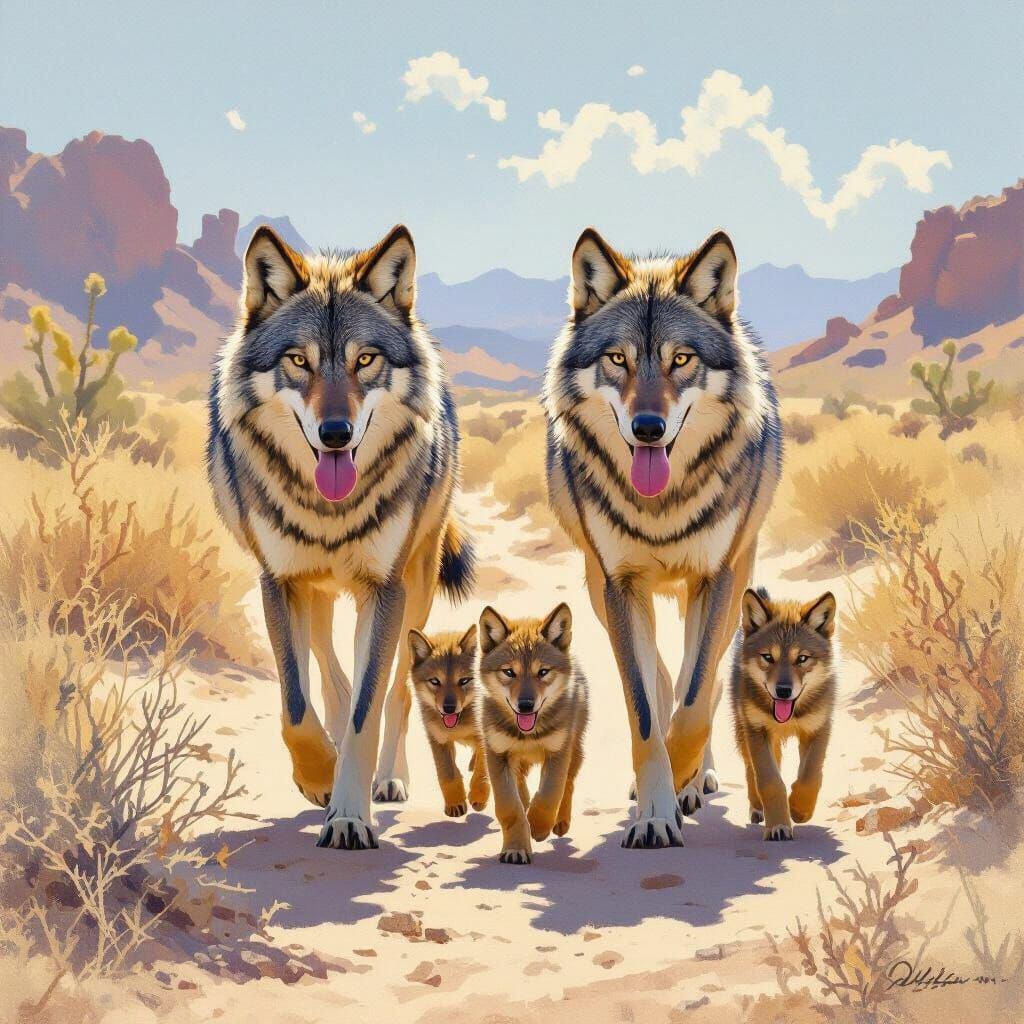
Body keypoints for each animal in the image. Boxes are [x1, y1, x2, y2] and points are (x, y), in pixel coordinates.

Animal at [207, 224, 473, 851]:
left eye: (366, 360)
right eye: (299, 361)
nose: (336, 434)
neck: (328, 512)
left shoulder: (384, 589)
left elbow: (366, 713)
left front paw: (350, 813)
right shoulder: (278, 582)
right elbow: (296, 703)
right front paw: (319, 776)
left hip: (415, 587)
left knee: (394, 690)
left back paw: (390, 778)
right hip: (319, 593)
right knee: (329, 671)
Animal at [408, 625, 490, 817]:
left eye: (464, 680)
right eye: (435, 681)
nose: (449, 708)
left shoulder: (484, 737)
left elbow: (482, 771)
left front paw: (478, 796)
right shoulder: (438, 739)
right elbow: (447, 774)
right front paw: (455, 803)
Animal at [476, 603, 589, 864]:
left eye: (543, 672)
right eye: (509, 672)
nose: (526, 705)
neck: (527, 735)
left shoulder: (558, 752)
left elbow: (550, 795)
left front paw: (538, 827)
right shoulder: (496, 754)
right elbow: (509, 807)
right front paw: (516, 849)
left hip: (575, 749)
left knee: (568, 783)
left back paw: (560, 822)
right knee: (520, 785)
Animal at [543, 228, 782, 848]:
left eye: (681, 359)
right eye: (617, 358)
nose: (647, 429)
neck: (662, 506)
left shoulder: (716, 578)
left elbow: (695, 702)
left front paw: (681, 782)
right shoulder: (620, 585)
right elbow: (646, 712)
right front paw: (655, 809)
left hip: (733, 583)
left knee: (706, 675)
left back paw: (700, 779)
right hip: (601, 593)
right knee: (660, 676)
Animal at [731, 588, 838, 840]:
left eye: (802, 658)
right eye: (768, 657)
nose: (783, 690)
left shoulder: (818, 728)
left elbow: (810, 776)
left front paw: (799, 810)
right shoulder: (757, 731)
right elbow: (770, 781)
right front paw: (778, 825)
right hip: (744, 732)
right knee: (751, 770)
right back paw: (757, 808)